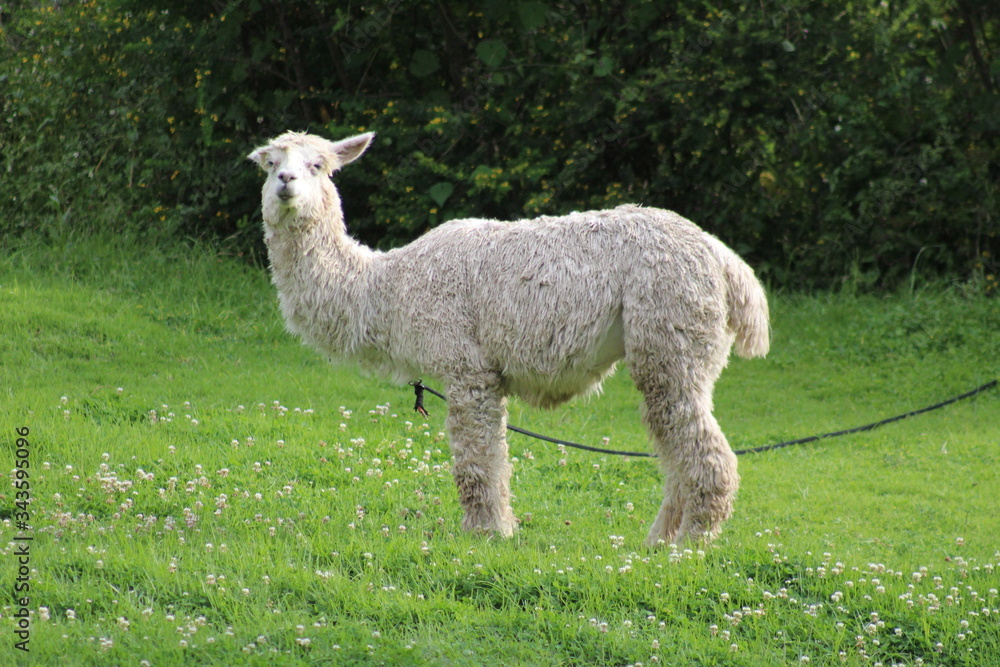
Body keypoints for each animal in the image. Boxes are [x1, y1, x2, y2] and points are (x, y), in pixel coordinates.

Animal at [247, 130, 769, 546]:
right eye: (271, 162)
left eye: (318, 165)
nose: (286, 182)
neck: (388, 287)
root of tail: (724, 260)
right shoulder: (482, 373)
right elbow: (494, 460)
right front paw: (500, 529)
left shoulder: (466, 367)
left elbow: (475, 464)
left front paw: (485, 535)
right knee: (675, 448)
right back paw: (659, 542)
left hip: (670, 331)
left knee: (703, 453)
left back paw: (690, 543)